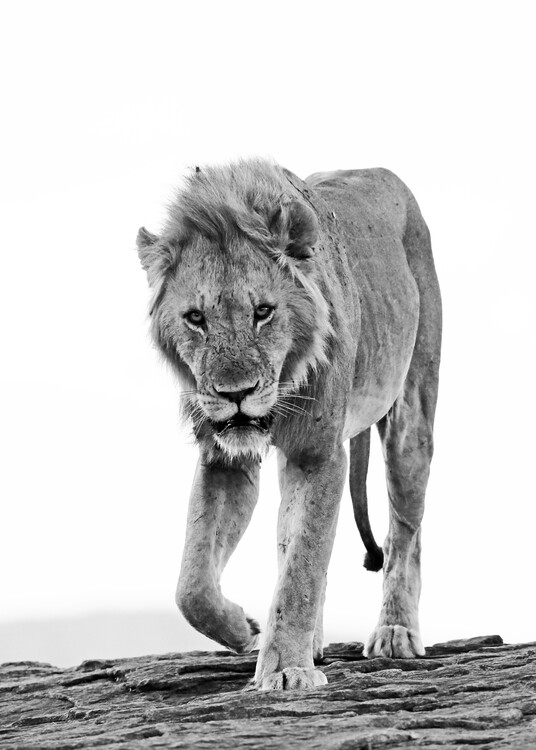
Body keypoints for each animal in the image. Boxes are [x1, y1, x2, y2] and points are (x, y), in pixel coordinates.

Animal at [137, 159, 441, 691]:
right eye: (195, 318)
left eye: (263, 312)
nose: (234, 394)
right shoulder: (223, 458)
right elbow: (192, 585)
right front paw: (248, 631)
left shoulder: (317, 453)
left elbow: (302, 566)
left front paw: (284, 671)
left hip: (411, 415)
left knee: (405, 533)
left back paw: (396, 633)